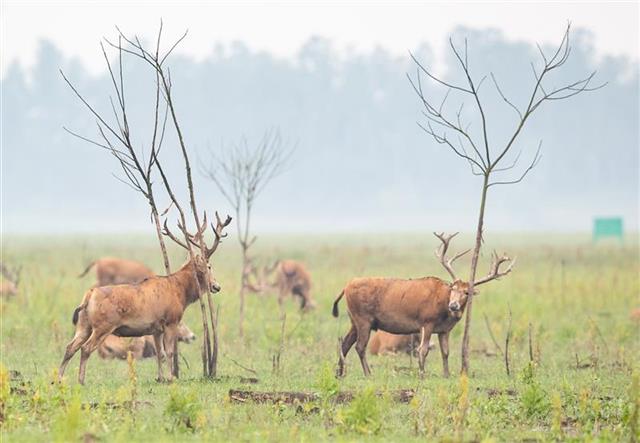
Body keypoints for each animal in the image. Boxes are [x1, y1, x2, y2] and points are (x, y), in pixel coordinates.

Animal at [58, 212, 232, 386]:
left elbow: (160, 353)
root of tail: (89, 295)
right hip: (103, 326)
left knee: (70, 347)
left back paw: (58, 379)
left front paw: (160, 378)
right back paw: (81, 381)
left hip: (84, 325)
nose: (217, 286)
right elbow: (170, 352)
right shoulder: (171, 321)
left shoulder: (156, 328)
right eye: (209, 266)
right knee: (86, 348)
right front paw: (171, 378)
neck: (180, 291)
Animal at [332, 232, 512, 378]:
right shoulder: (427, 321)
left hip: (354, 320)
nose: (454, 305)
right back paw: (368, 373)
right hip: (363, 318)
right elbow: (422, 350)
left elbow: (445, 352)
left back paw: (339, 373)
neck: (444, 311)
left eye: (467, 292)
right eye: (453, 288)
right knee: (360, 346)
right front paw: (422, 373)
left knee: (345, 343)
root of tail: (346, 287)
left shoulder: (444, 330)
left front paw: (446, 374)